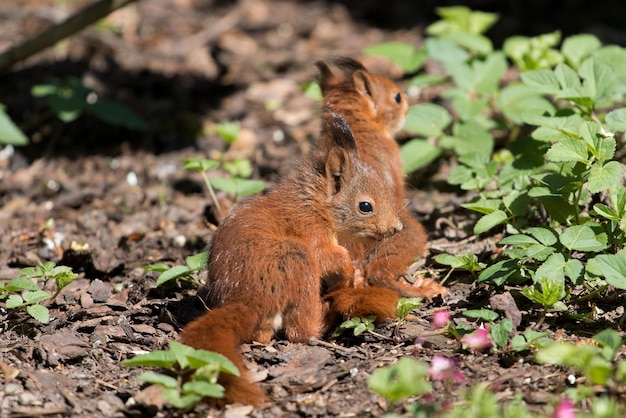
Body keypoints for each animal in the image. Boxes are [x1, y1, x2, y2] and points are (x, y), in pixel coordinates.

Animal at [179, 110, 404, 404]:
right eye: (365, 206)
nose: (397, 228)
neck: (314, 203)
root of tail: (249, 299)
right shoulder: (312, 232)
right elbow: (330, 257)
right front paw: (347, 272)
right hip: (297, 260)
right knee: (300, 330)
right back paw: (327, 314)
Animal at [314, 58, 446, 300]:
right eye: (397, 97)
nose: (407, 104)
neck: (356, 120)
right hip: (407, 234)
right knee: (378, 274)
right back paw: (422, 288)